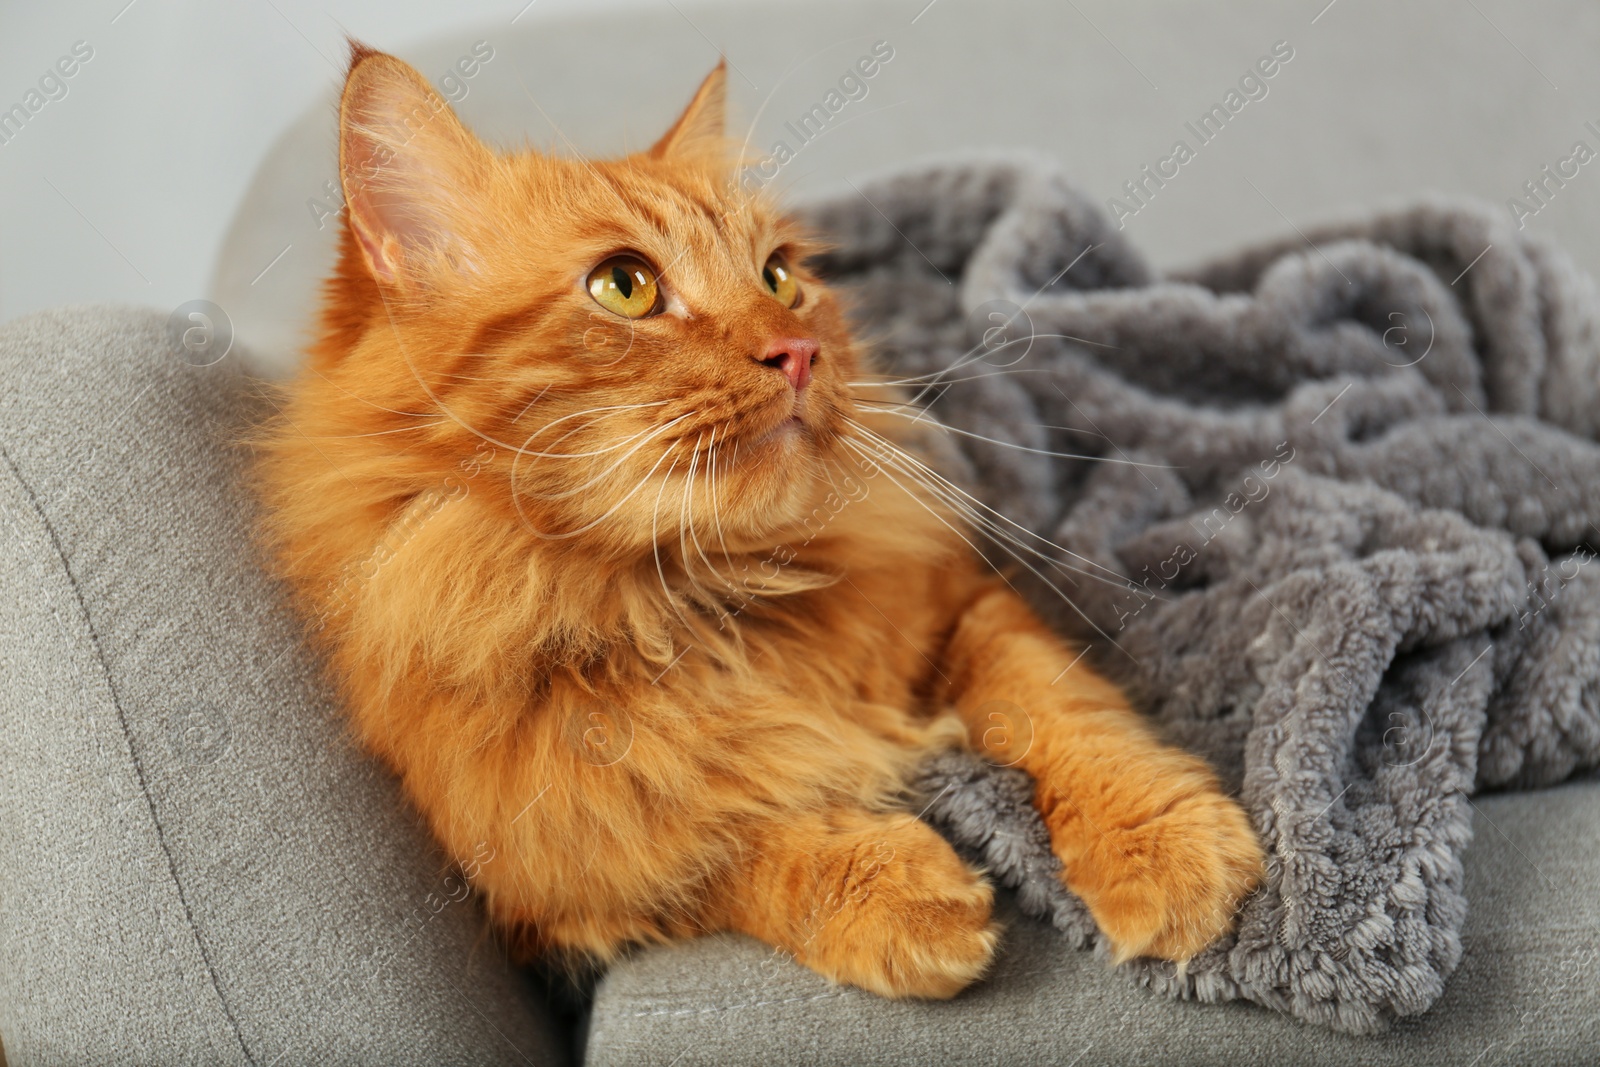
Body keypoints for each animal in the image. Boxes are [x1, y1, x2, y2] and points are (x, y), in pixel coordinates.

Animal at [256, 43, 1267, 1004]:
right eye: (624, 286)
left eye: (780, 277)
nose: (800, 351)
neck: (703, 597)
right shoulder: (560, 878)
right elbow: (728, 848)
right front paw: (897, 889)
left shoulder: (963, 608)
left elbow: (1065, 714)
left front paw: (1164, 850)